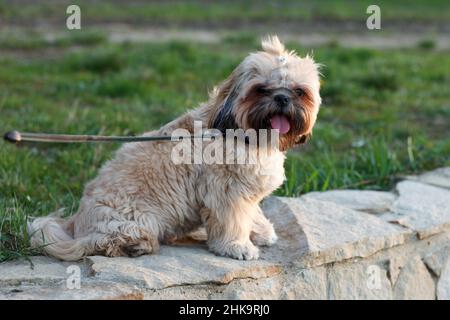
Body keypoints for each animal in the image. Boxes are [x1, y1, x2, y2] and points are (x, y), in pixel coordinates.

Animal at [29, 35, 322, 260]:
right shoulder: (225, 191)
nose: (282, 98)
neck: (241, 133)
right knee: (103, 242)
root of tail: (75, 223)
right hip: (137, 218)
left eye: (299, 91)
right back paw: (135, 245)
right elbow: (233, 220)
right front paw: (237, 246)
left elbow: (253, 212)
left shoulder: (244, 187)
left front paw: (261, 231)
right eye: (261, 90)